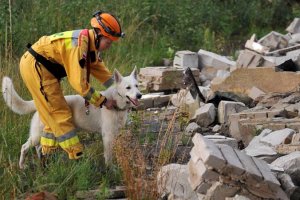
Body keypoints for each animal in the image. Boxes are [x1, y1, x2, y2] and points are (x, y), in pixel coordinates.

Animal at [1, 67, 142, 169]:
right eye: (128, 87)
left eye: (137, 86)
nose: (140, 95)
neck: (116, 101)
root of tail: (38, 104)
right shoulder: (107, 136)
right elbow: (108, 156)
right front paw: (110, 169)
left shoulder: (114, 134)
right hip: (38, 135)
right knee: (24, 147)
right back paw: (22, 165)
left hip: (50, 134)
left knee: (39, 148)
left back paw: (43, 163)